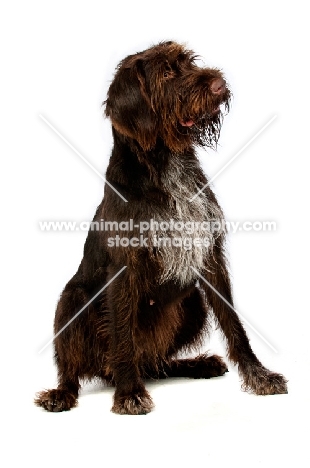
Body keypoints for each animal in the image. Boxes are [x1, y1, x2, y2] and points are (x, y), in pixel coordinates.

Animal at [34, 40, 288, 414]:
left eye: (190, 62)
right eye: (166, 74)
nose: (219, 84)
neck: (167, 162)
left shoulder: (210, 256)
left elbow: (235, 325)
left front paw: (259, 375)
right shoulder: (124, 268)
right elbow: (123, 336)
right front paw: (128, 393)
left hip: (192, 302)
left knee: (158, 363)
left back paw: (196, 364)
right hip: (72, 299)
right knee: (77, 367)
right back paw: (62, 393)